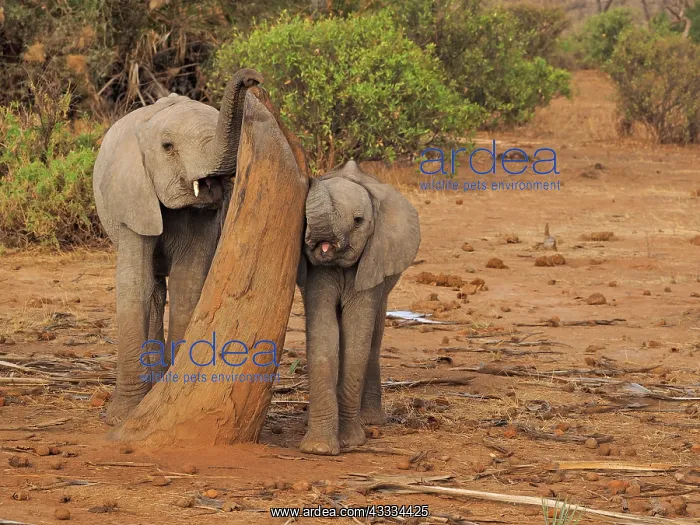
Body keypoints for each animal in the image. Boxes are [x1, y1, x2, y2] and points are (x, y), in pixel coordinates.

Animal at [92, 68, 263, 425]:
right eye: (168, 147)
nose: (252, 78)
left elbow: (188, 283)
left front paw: (163, 395)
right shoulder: (132, 196)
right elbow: (135, 286)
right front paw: (122, 416)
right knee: (154, 288)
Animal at [296, 160, 421, 455]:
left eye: (358, 220)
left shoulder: (374, 258)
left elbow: (357, 336)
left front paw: (350, 442)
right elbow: (324, 333)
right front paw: (319, 449)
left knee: (374, 337)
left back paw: (372, 421)